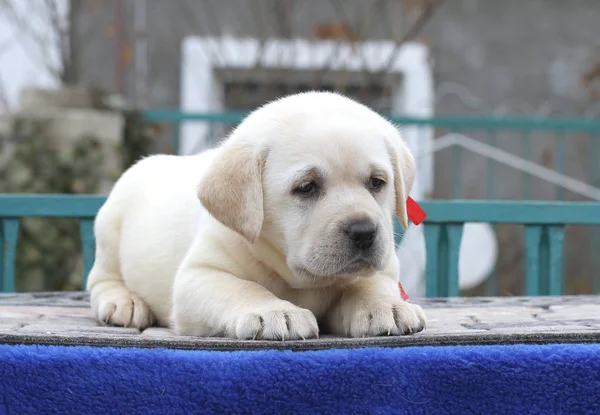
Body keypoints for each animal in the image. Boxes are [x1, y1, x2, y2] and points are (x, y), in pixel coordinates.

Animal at [88, 92, 426, 342]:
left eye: (377, 182)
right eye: (306, 187)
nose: (364, 232)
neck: (301, 280)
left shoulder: (383, 269)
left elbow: (368, 284)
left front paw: (386, 307)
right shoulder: (199, 275)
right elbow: (243, 288)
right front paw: (275, 312)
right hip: (110, 227)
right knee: (101, 280)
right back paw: (124, 303)